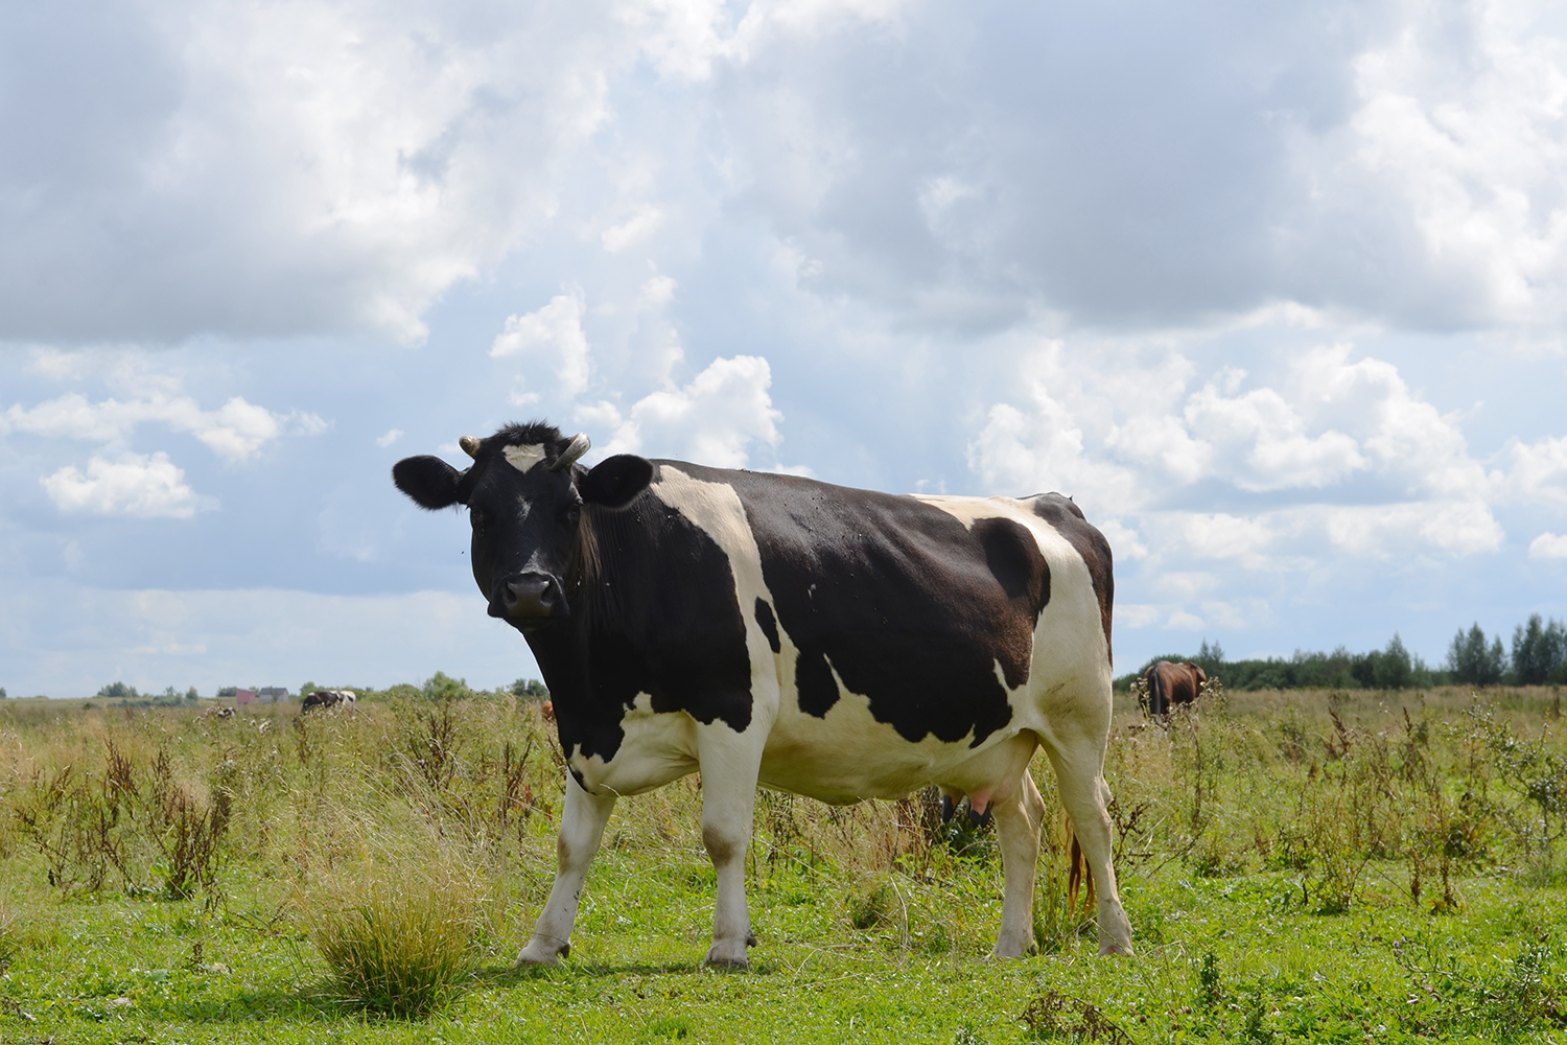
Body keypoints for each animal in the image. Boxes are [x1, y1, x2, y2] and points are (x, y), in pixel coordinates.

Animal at [390, 419, 1128, 971]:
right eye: (479, 510)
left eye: (570, 508)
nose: (530, 589)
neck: (594, 679)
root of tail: (1047, 504)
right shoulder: (583, 729)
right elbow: (573, 845)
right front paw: (542, 944)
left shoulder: (733, 713)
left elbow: (722, 835)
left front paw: (727, 944)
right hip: (1001, 738)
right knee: (1023, 821)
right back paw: (1009, 945)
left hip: (1080, 716)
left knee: (1092, 818)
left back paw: (1114, 939)